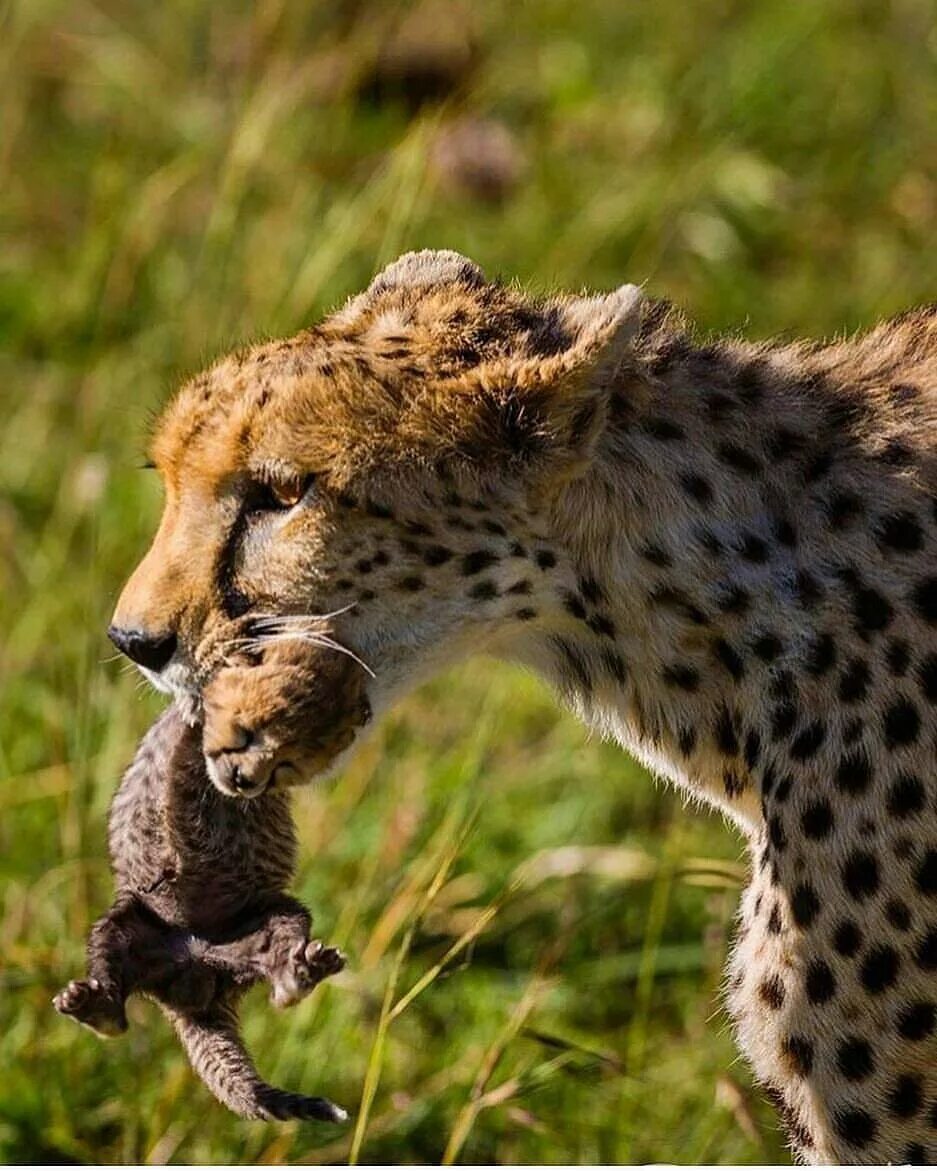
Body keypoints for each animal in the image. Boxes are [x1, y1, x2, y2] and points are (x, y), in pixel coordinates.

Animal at [55, 646, 363, 1119]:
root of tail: (194, 989)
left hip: (272, 916)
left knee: (282, 966)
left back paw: (299, 975)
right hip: (125, 923)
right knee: (114, 991)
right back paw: (97, 1008)